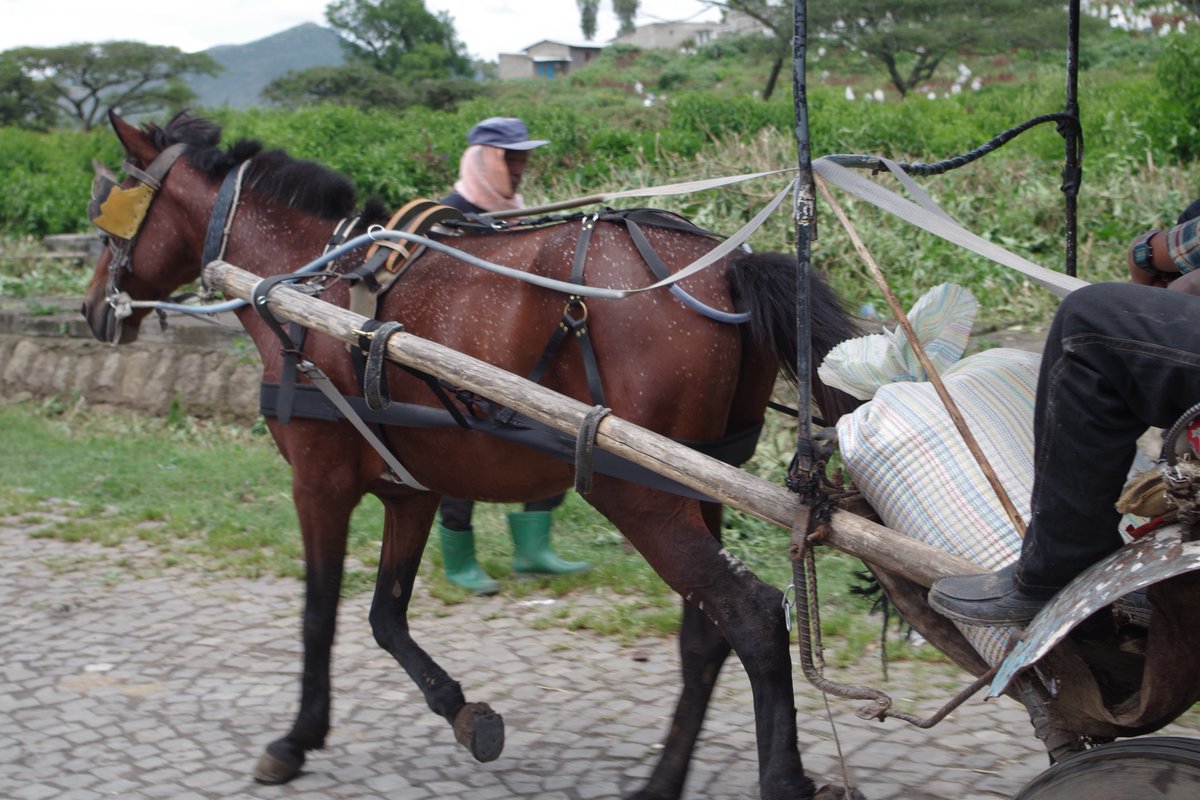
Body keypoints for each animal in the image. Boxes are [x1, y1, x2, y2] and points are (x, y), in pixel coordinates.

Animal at [79, 112, 864, 800]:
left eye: (109, 213)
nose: (90, 311)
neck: (308, 287)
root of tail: (724, 269)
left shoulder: (319, 482)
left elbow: (319, 613)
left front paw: (296, 739)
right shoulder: (411, 489)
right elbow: (385, 615)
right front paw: (462, 712)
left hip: (638, 493)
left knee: (752, 617)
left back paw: (783, 780)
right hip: (698, 486)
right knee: (706, 634)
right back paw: (661, 781)